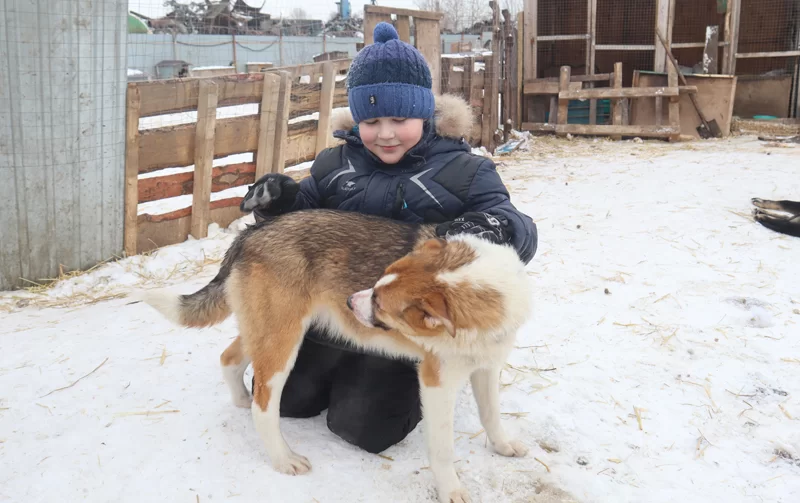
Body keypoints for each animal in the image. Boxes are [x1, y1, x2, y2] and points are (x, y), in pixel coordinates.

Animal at [141, 210, 536, 503]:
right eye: (376, 285)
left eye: (378, 300)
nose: (349, 301)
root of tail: (253, 231)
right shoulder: (437, 382)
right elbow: (442, 450)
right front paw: (451, 490)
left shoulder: (486, 368)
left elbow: (492, 416)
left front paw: (502, 446)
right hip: (284, 342)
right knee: (264, 403)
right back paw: (283, 458)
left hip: (267, 331)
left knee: (230, 359)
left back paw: (240, 398)